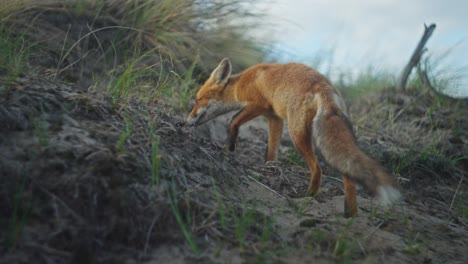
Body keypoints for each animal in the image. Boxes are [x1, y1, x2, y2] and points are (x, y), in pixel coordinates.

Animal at [186, 57, 402, 217]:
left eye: (197, 100)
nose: (186, 121)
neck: (242, 83)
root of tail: (325, 87)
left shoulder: (258, 104)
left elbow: (233, 120)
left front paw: (230, 147)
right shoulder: (274, 117)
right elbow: (271, 150)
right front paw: (269, 168)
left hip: (297, 134)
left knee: (318, 169)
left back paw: (307, 197)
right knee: (348, 175)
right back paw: (350, 215)